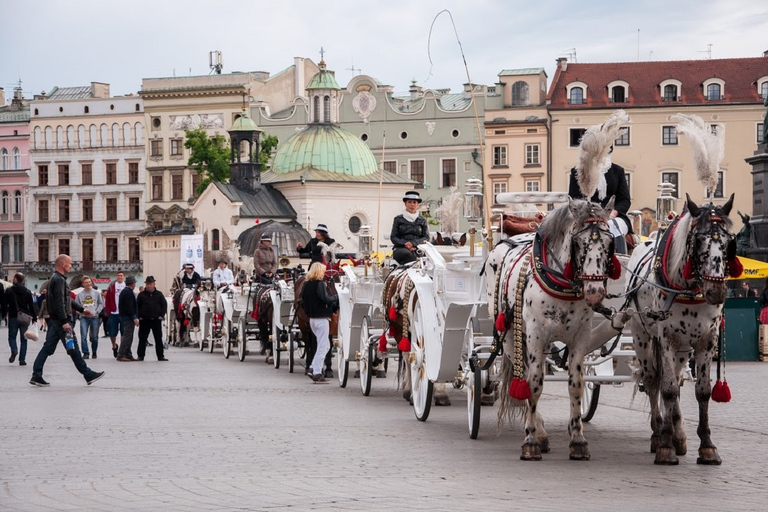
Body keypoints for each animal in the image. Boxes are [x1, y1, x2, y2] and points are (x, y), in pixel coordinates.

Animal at [488, 197, 620, 460]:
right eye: (578, 243)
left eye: (610, 243)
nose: (594, 292)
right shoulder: (535, 335)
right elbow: (534, 384)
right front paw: (531, 439)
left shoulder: (581, 337)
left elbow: (576, 384)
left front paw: (578, 439)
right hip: (509, 337)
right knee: (525, 376)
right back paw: (538, 430)